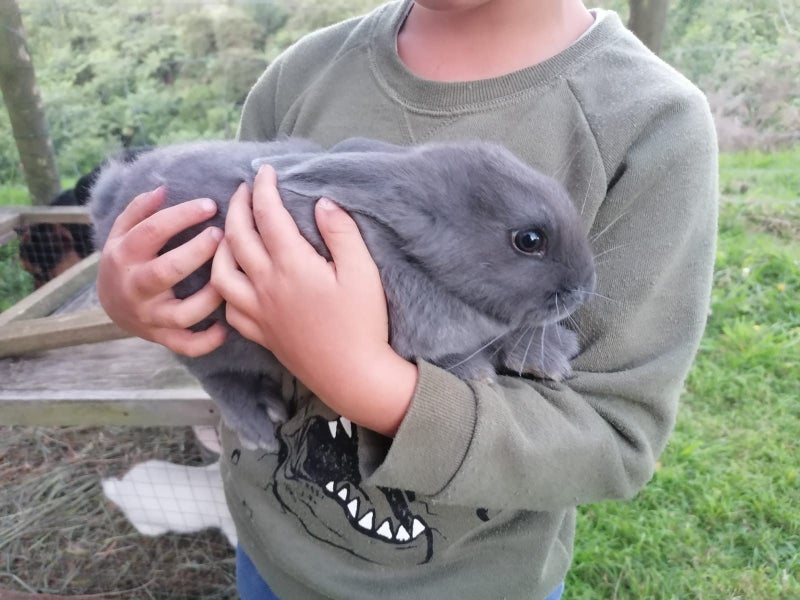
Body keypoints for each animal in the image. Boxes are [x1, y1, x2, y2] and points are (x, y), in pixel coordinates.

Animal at [90, 138, 596, 451]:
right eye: (529, 240)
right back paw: (258, 424)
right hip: (203, 332)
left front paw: (552, 355)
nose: (584, 289)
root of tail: (112, 199)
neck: (410, 253)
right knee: (216, 377)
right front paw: (477, 372)